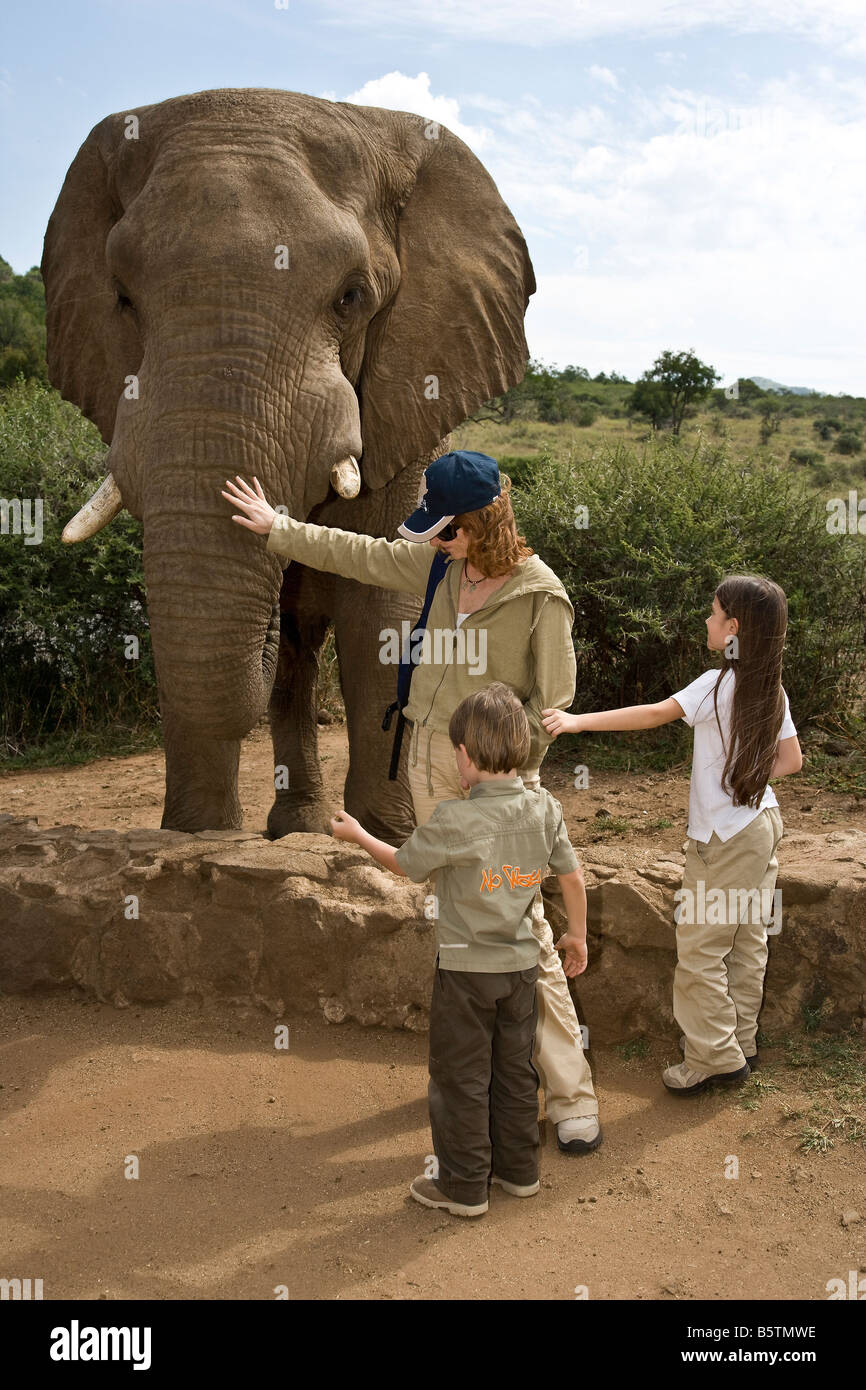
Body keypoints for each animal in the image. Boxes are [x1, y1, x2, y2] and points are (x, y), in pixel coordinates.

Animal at [44, 95, 539, 845]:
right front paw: (194, 842)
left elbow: (379, 620)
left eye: (352, 297)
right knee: (297, 661)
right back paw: (291, 828)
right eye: (123, 299)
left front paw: (386, 842)